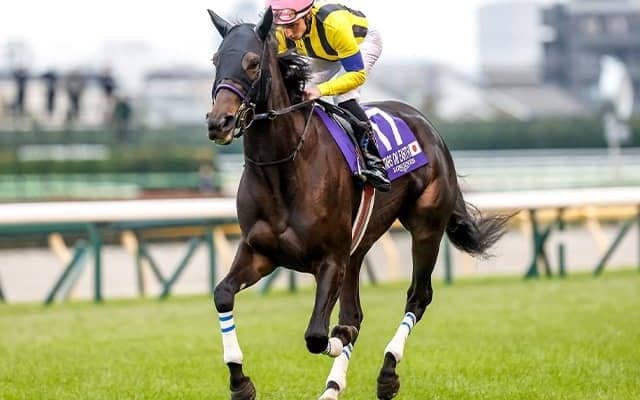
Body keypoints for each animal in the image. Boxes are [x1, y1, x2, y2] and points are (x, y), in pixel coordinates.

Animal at [205, 8, 509, 400]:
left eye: (253, 63)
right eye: (216, 60)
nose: (219, 122)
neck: (284, 167)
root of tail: (428, 127)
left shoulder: (331, 259)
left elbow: (318, 335)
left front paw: (339, 339)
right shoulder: (260, 251)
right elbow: (223, 295)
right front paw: (240, 382)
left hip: (425, 226)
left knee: (418, 296)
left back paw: (387, 374)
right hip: (360, 244)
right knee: (355, 312)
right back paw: (333, 387)